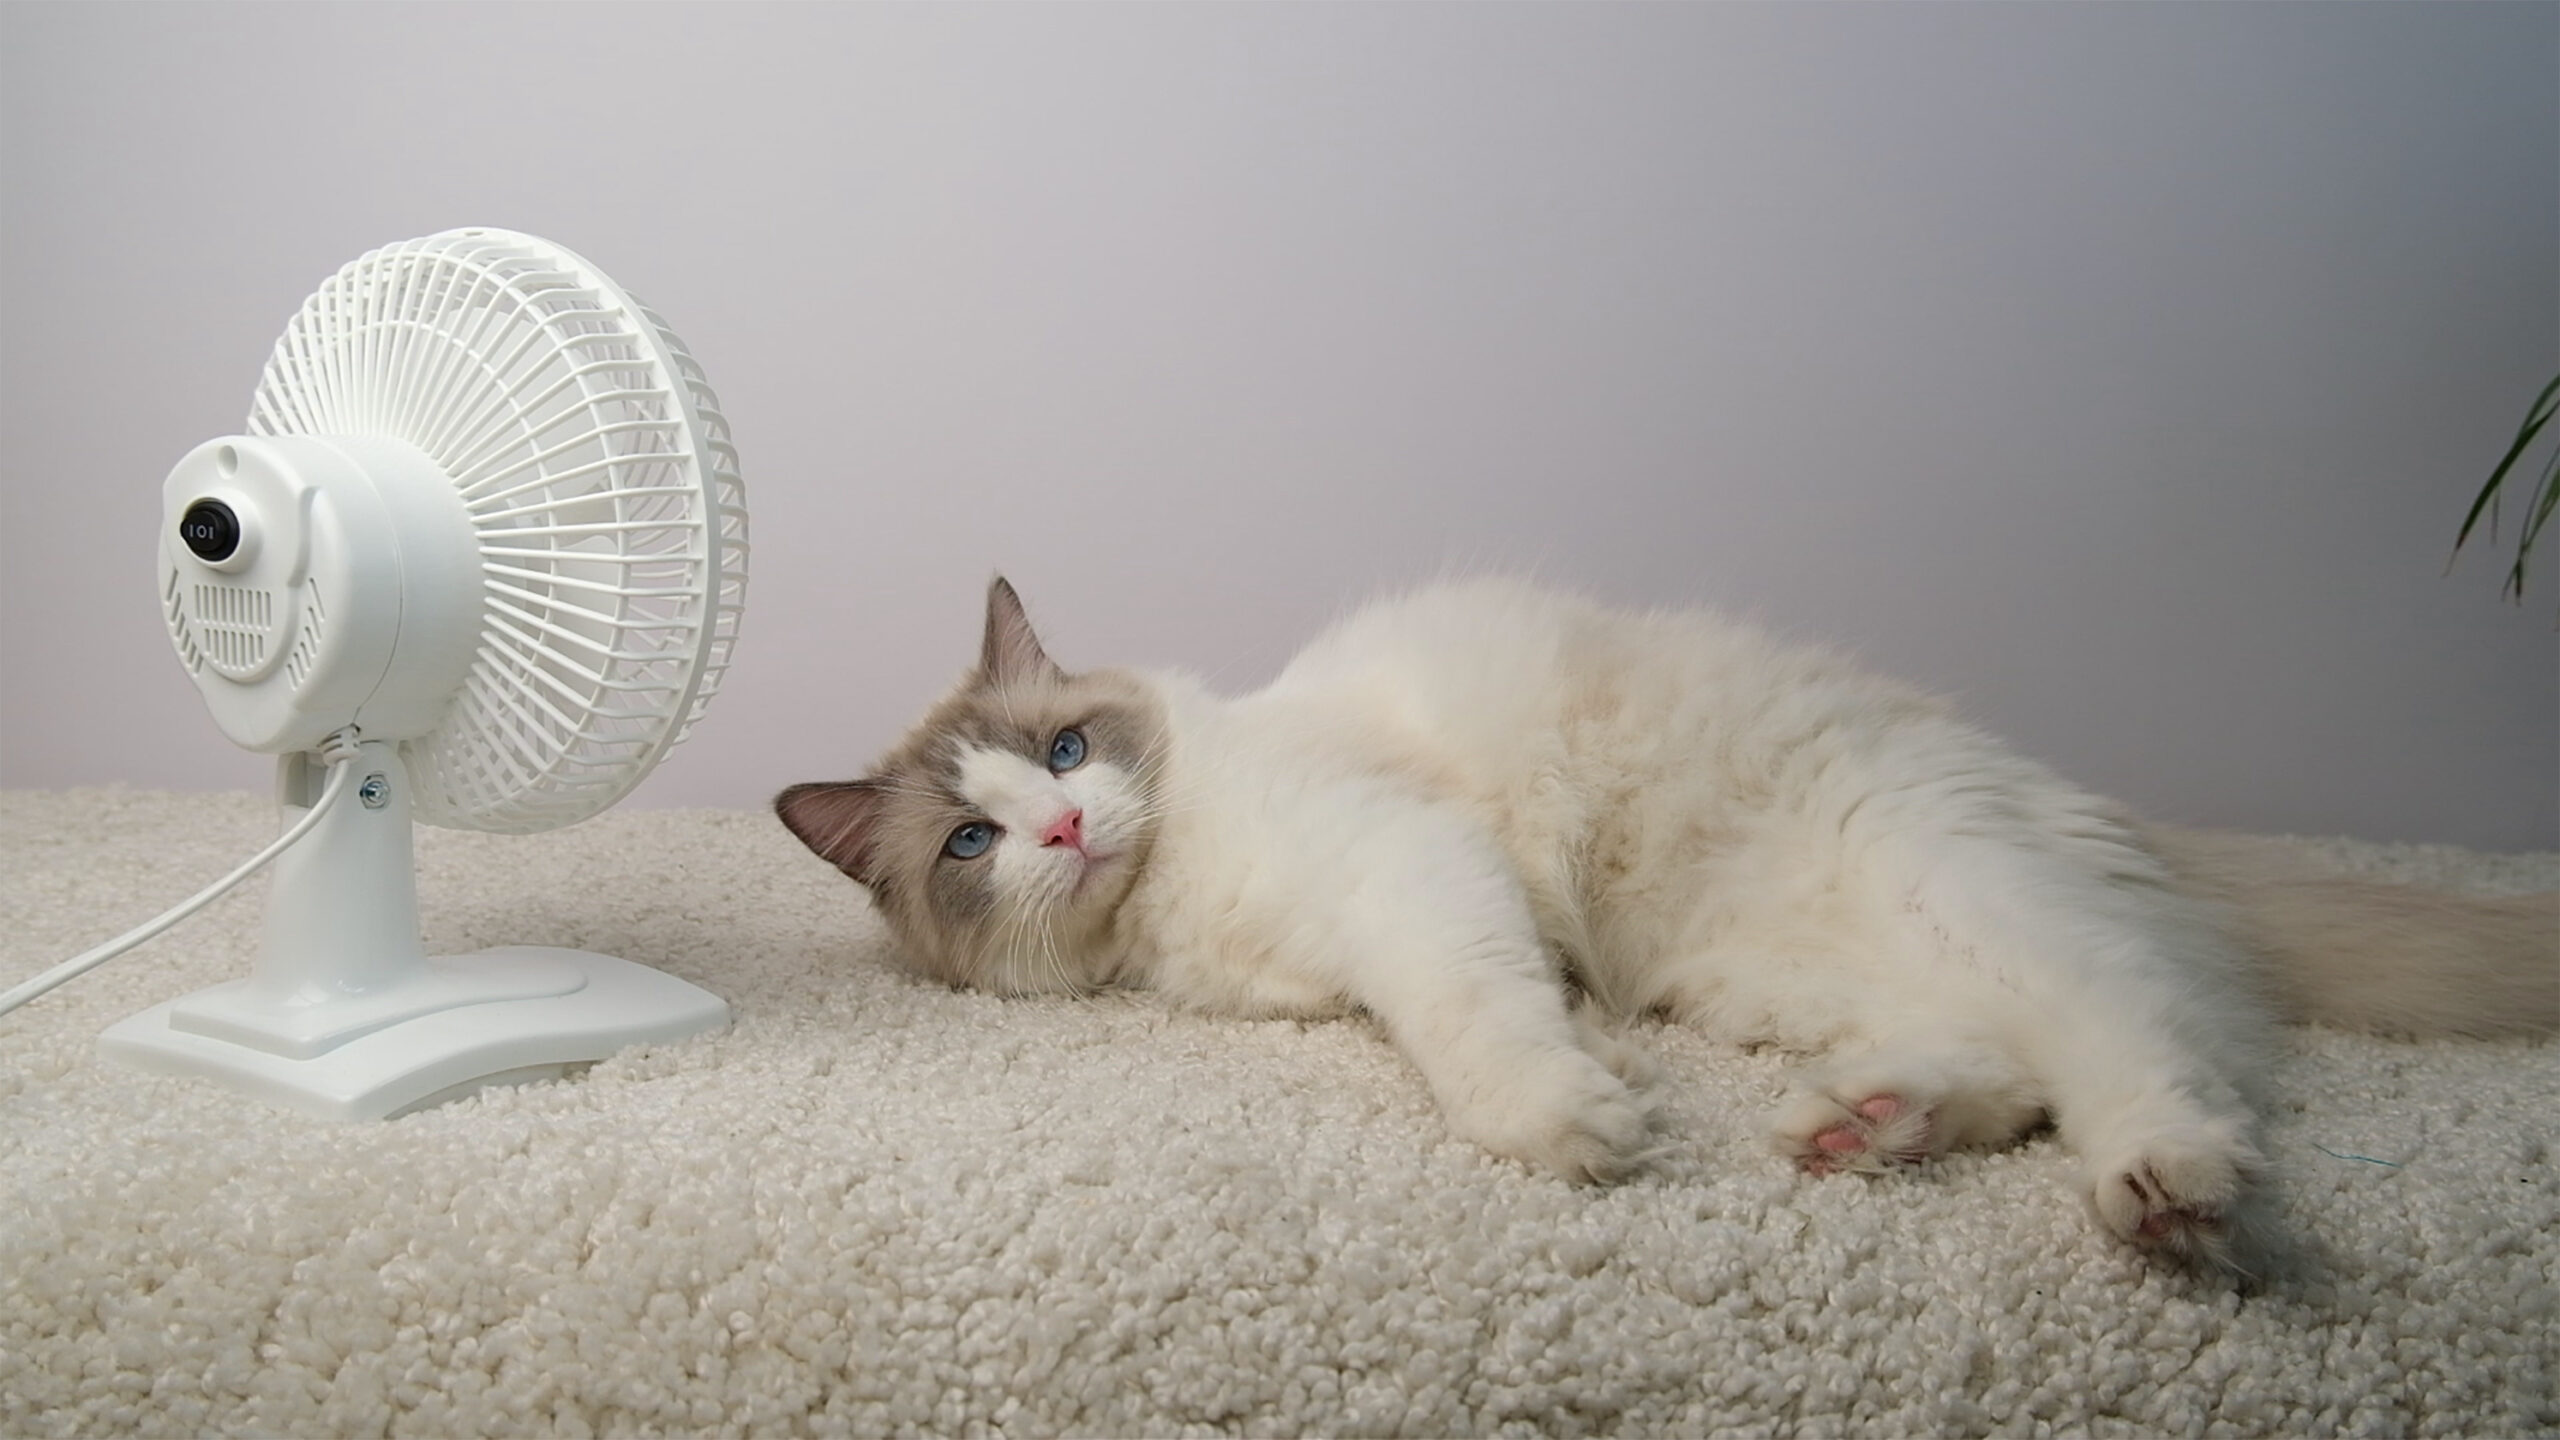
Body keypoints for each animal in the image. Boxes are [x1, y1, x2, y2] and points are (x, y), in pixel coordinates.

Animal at [776, 576, 2558, 1269]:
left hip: (1951, 889)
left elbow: (1480, 1033)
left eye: (1069, 754)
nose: (1069, 827)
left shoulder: (1406, 872)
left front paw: (1573, 1131)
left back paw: (2165, 1194)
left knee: (2137, 1041)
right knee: (2012, 1061)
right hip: (1787, 972)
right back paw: (1860, 1128)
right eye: (974, 839)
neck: (1169, 890)